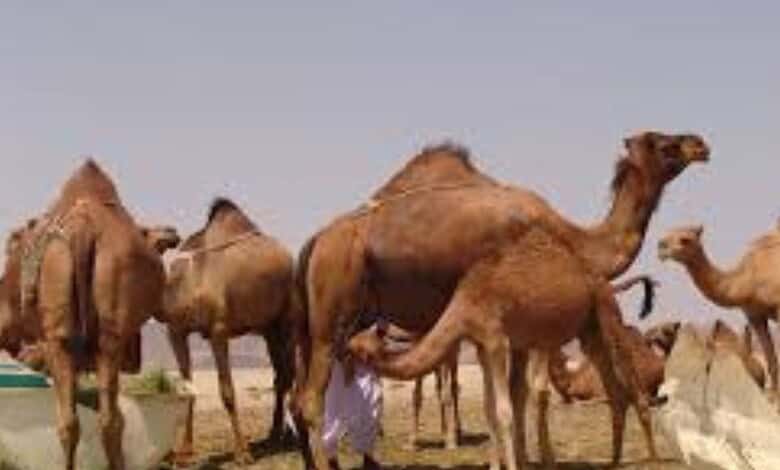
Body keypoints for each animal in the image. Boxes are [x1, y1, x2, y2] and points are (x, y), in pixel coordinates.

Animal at [144, 198, 298, 463]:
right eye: (143, 230)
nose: (171, 232)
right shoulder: (176, 332)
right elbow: (187, 389)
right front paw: (185, 452)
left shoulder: (218, 330)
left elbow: (227, 390)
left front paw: (242, 453)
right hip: (268, 328)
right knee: (280, 375)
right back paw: (273, 435)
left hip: (285, 320)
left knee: (288, 373)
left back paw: (286, 437)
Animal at [294, 131, 709, 470]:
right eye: (664, 144)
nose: (700, 145)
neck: (571, 237)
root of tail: (315, 241)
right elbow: (521, 396)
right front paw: (525, 459)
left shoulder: (516, 326)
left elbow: (515, 396)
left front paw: (520, 459)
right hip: (330, 320)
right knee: (311, 401)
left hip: (337, 323)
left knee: (301, 398)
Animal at [658, 224, 780, 397]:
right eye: (666, 235)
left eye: (685, 239)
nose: (661, 247)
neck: (747, 279)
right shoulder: (754, 315)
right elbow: (772, 361)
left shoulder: (778, 307)